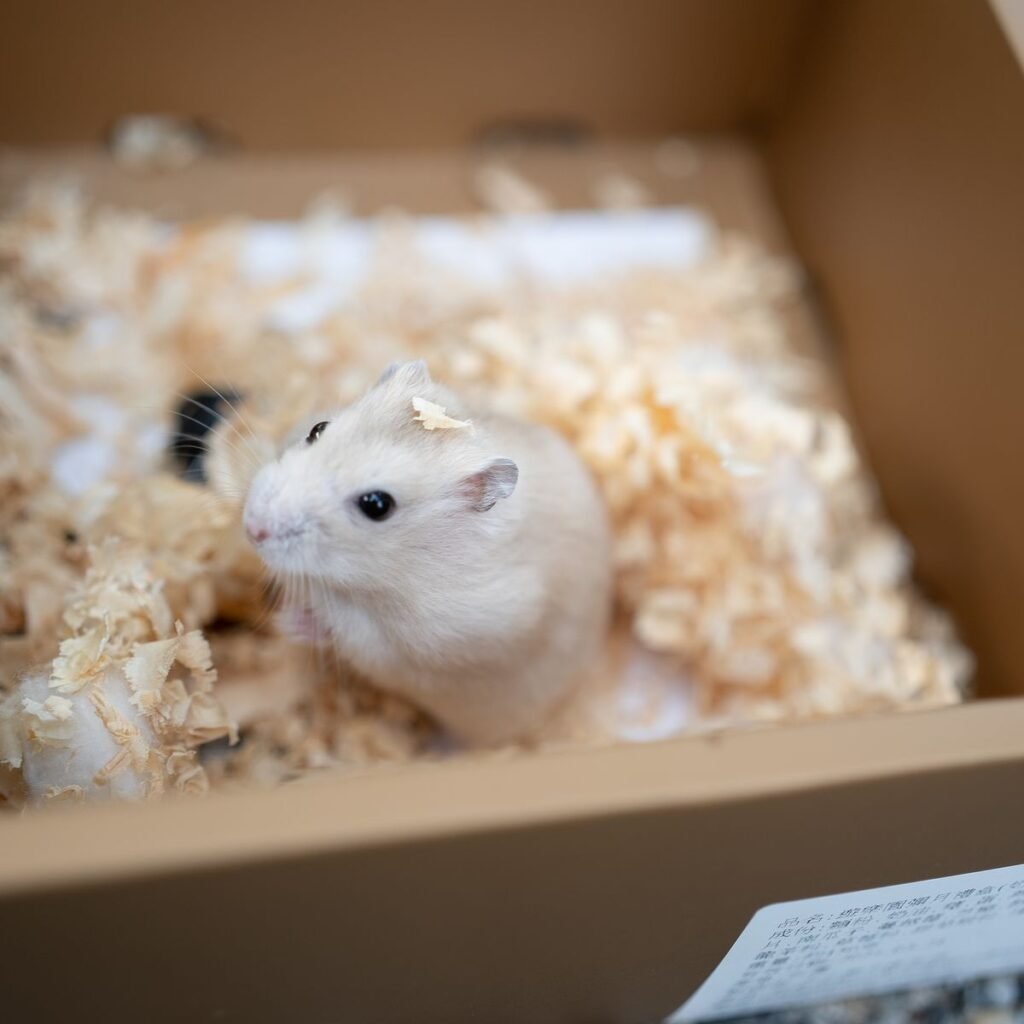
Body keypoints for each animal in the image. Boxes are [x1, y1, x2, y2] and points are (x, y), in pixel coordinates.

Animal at [243, 360, 613, 744]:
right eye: (317, 429)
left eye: (377, 505)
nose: (252, 528)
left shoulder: (425, 639)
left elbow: (347, 633)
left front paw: (289, 622)